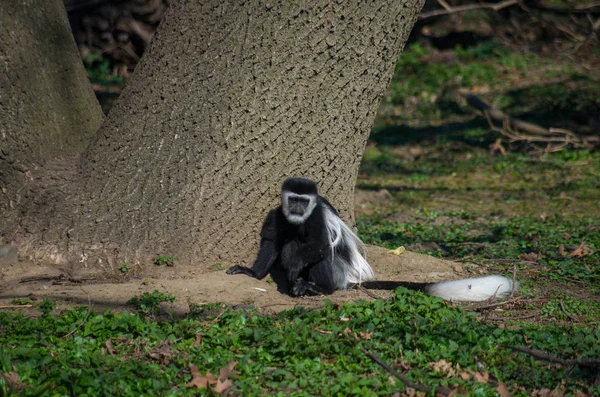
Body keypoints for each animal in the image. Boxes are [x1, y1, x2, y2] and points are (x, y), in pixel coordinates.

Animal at [227, 177, 516, 300]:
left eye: (304, 201)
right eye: (293, 199)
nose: (297, 208)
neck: (299, 219)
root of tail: (352, 279)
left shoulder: (317, 215)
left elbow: (320, 245)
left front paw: (295, 268)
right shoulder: (277, 215)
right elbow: (271, 243)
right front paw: (252, 272)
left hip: (338, 274)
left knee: (317, 254)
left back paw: (315, 287)